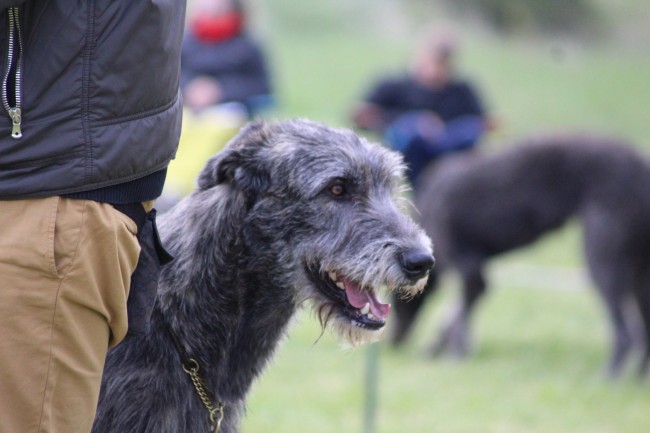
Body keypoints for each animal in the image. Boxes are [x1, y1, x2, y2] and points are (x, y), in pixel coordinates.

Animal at [390, 134, 648, 374]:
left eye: (395, 296)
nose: (394, 343)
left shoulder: (468, 266)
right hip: (637, 276)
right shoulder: (475, 269)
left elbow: (460, 314)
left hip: (602, 260)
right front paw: (440, 347)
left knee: (627, 335)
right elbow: (456, 312)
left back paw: (608, 377)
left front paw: (453, 353)